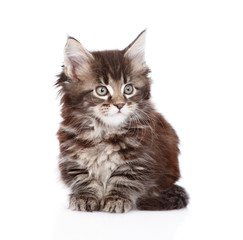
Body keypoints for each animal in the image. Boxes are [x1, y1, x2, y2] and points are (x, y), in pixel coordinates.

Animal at [56, 30, 189, 212]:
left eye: (128, 89)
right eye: (102, 90)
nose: (120, 104)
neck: (104, 131)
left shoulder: (140, 159)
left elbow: (124, 180)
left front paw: (116, 199)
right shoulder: (72, 157)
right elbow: (83, 178)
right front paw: (85, 196)